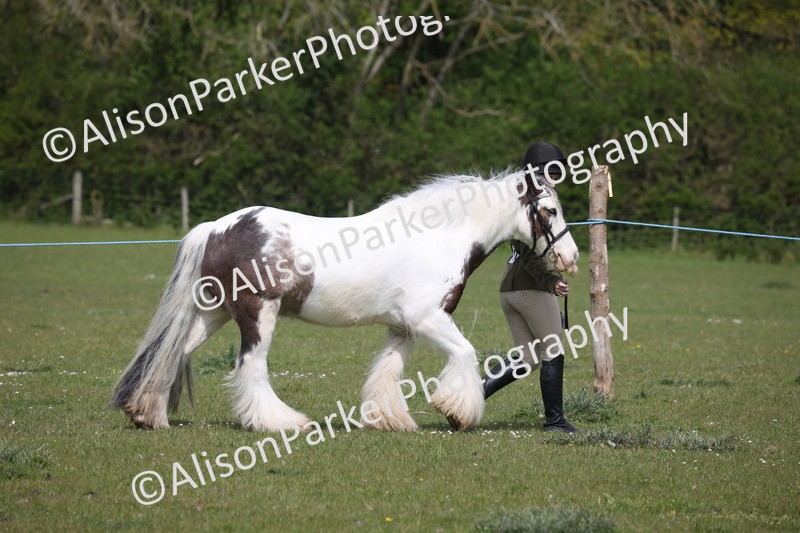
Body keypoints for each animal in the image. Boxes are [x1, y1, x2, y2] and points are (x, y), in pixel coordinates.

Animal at [111, 169, 579, 432]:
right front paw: (457, 412)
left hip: (215, 313)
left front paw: (391, 420)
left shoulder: (403, 326)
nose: (571, 258)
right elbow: (465, 353)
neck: (440, 237)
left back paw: (148, 415)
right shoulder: (428, 319)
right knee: (251, 366)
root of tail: (216, 227)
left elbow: (387, 373)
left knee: (172, 352)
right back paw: (280, 423)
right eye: (550, 211)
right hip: (256, 313)